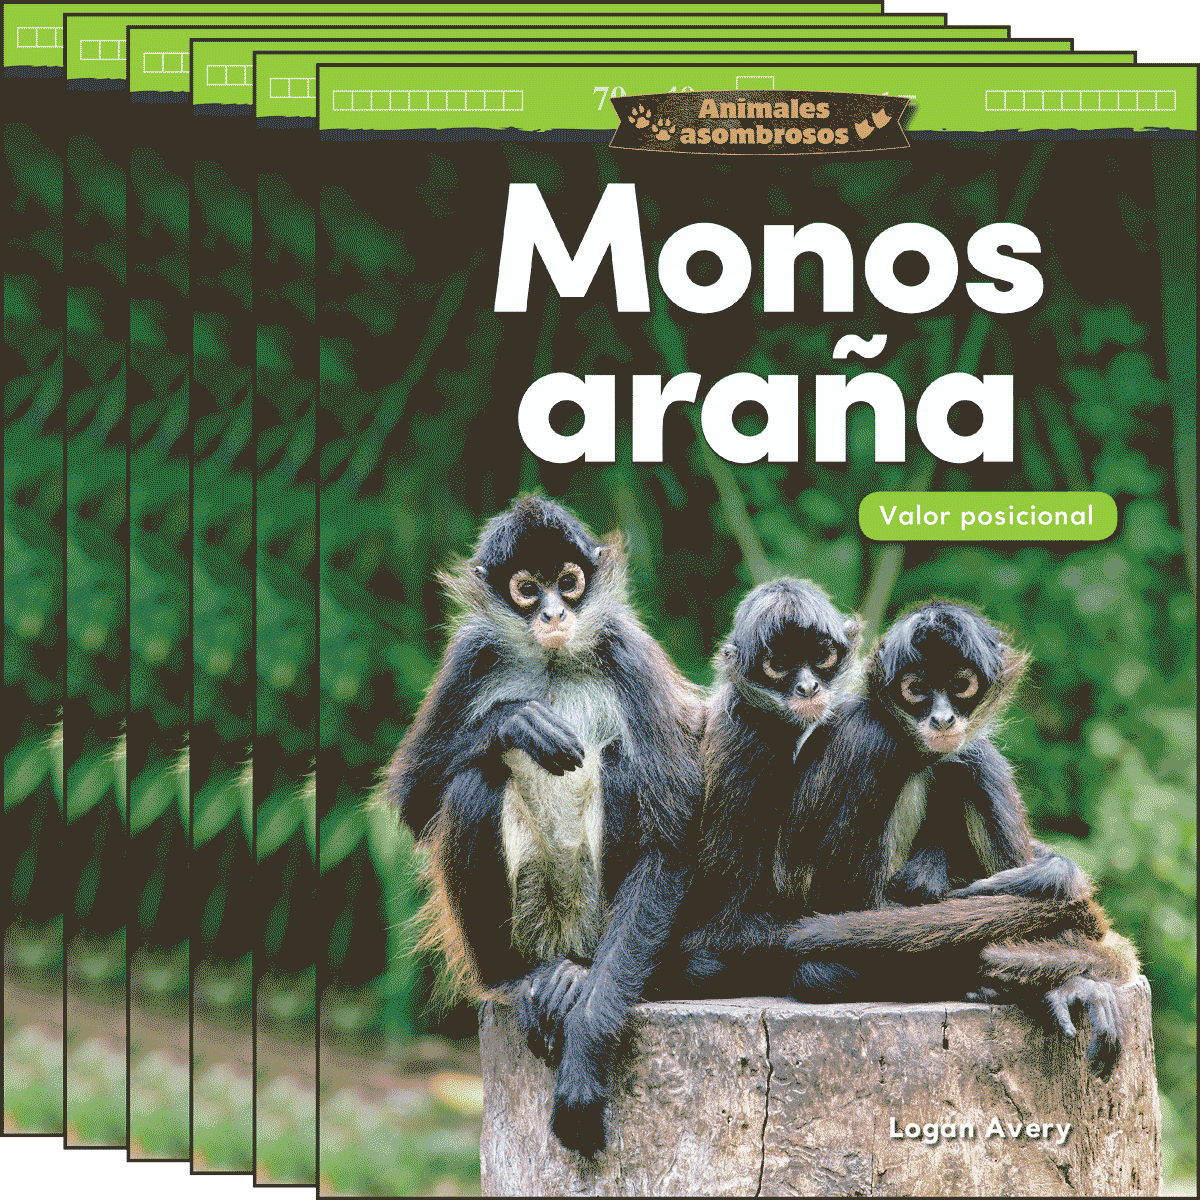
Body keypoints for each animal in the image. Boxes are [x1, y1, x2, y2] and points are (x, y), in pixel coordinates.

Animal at [389, 494, 703, 1157]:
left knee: (621, 767)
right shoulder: (470, 653)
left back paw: (575, 980)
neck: (556, 663)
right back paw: (520, 982)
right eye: (528, 589)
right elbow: (414, 799)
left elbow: (670, 843)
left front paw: (585, 1052)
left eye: (569, 581)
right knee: (471, 785)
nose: (555, 612)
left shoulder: (627, 650)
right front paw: (512, 722)